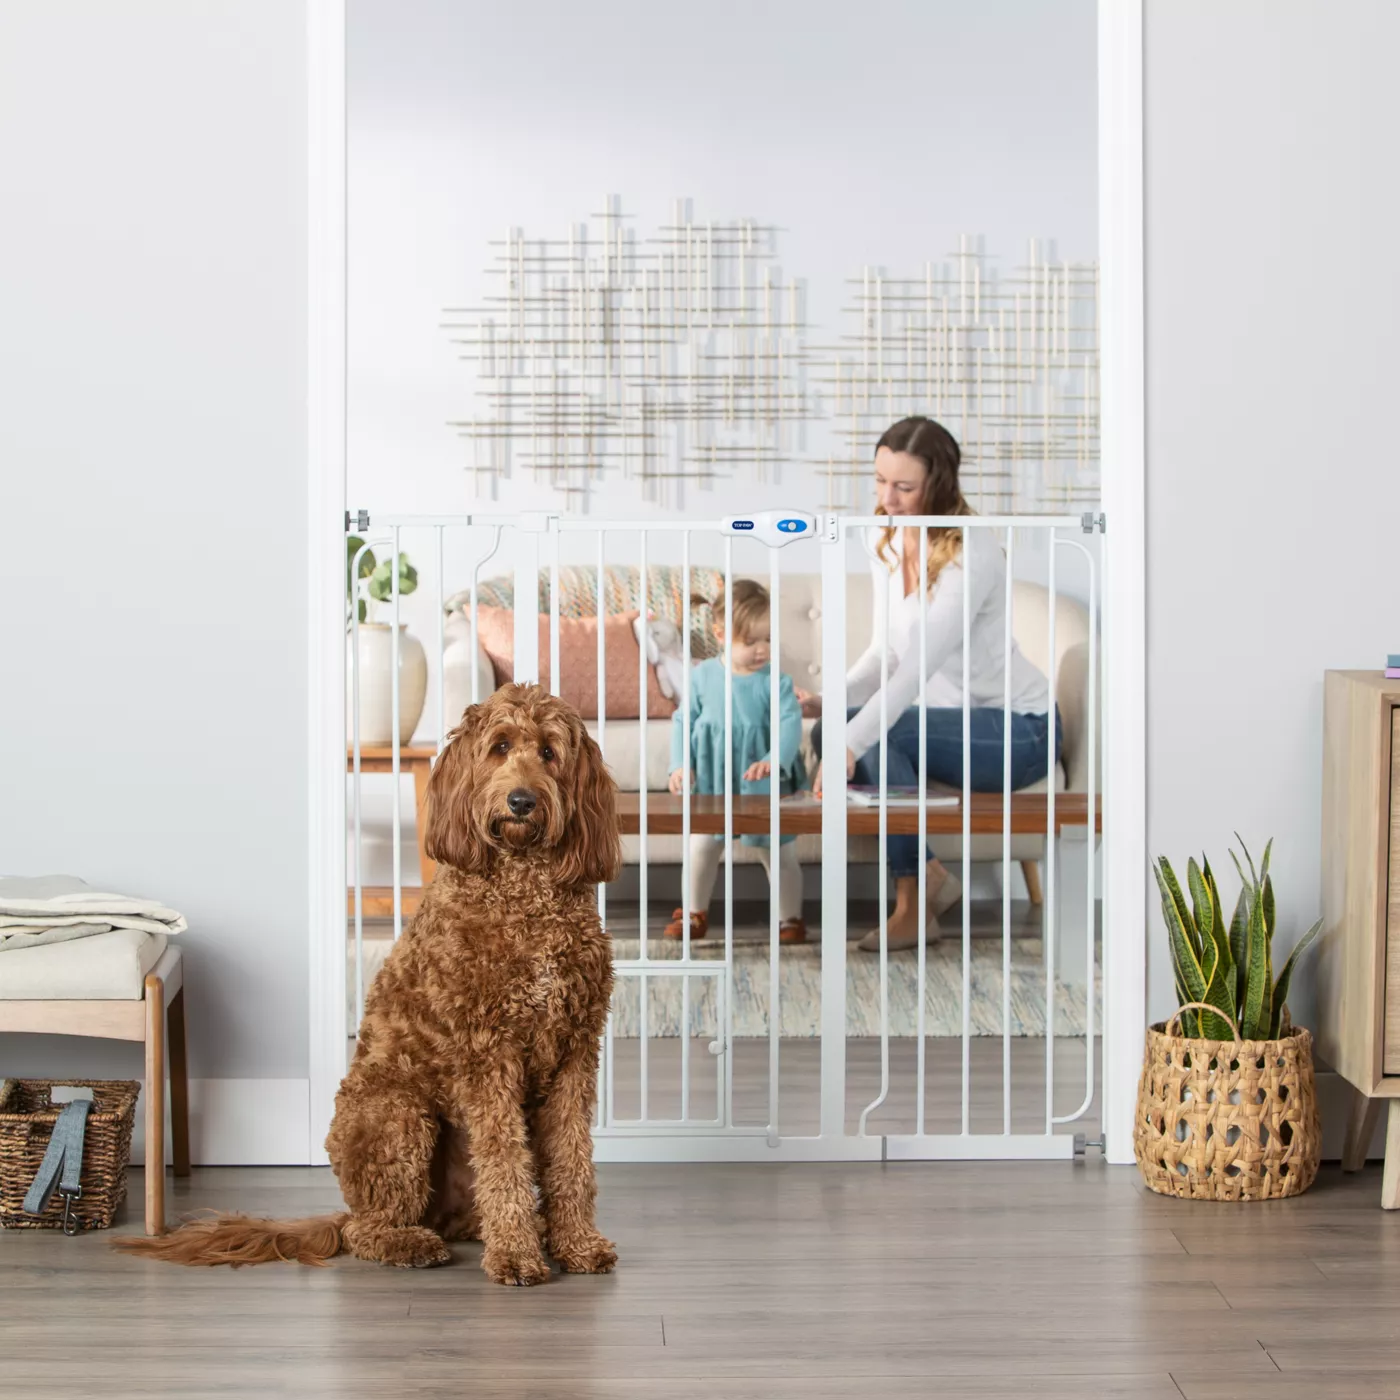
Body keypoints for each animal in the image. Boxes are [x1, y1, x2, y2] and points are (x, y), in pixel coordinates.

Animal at [117, 683, 621, 1282]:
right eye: (499, 747)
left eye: (548, 752)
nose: (521, 801)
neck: (526, 895)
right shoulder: (487, 1055)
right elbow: (505, 1159)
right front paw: (517, 1256)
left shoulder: (575, 1054)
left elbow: (572, 1158)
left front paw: (578, 1243)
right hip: (398, 1116)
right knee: (367, 1230)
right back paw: (412, 1243)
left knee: (451, 1216)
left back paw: (509, 1230)